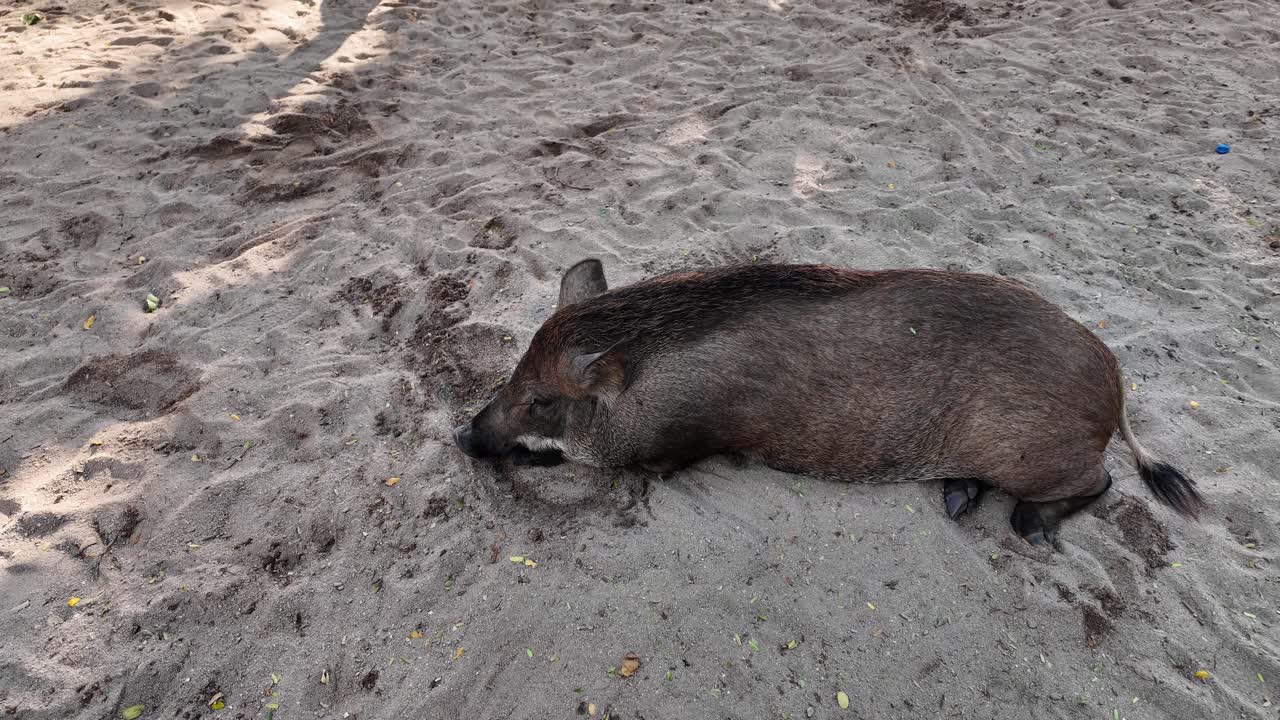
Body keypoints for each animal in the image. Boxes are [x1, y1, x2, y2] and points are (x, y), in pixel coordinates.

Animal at [454, 259, 1205, 545]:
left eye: (541, 400)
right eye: (513, 374)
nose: (460, 436)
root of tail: (1114, 379)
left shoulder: (673, 450)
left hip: (1036, 457)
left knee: (1100, 483)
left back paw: (1027, 525)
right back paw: (957, 500)